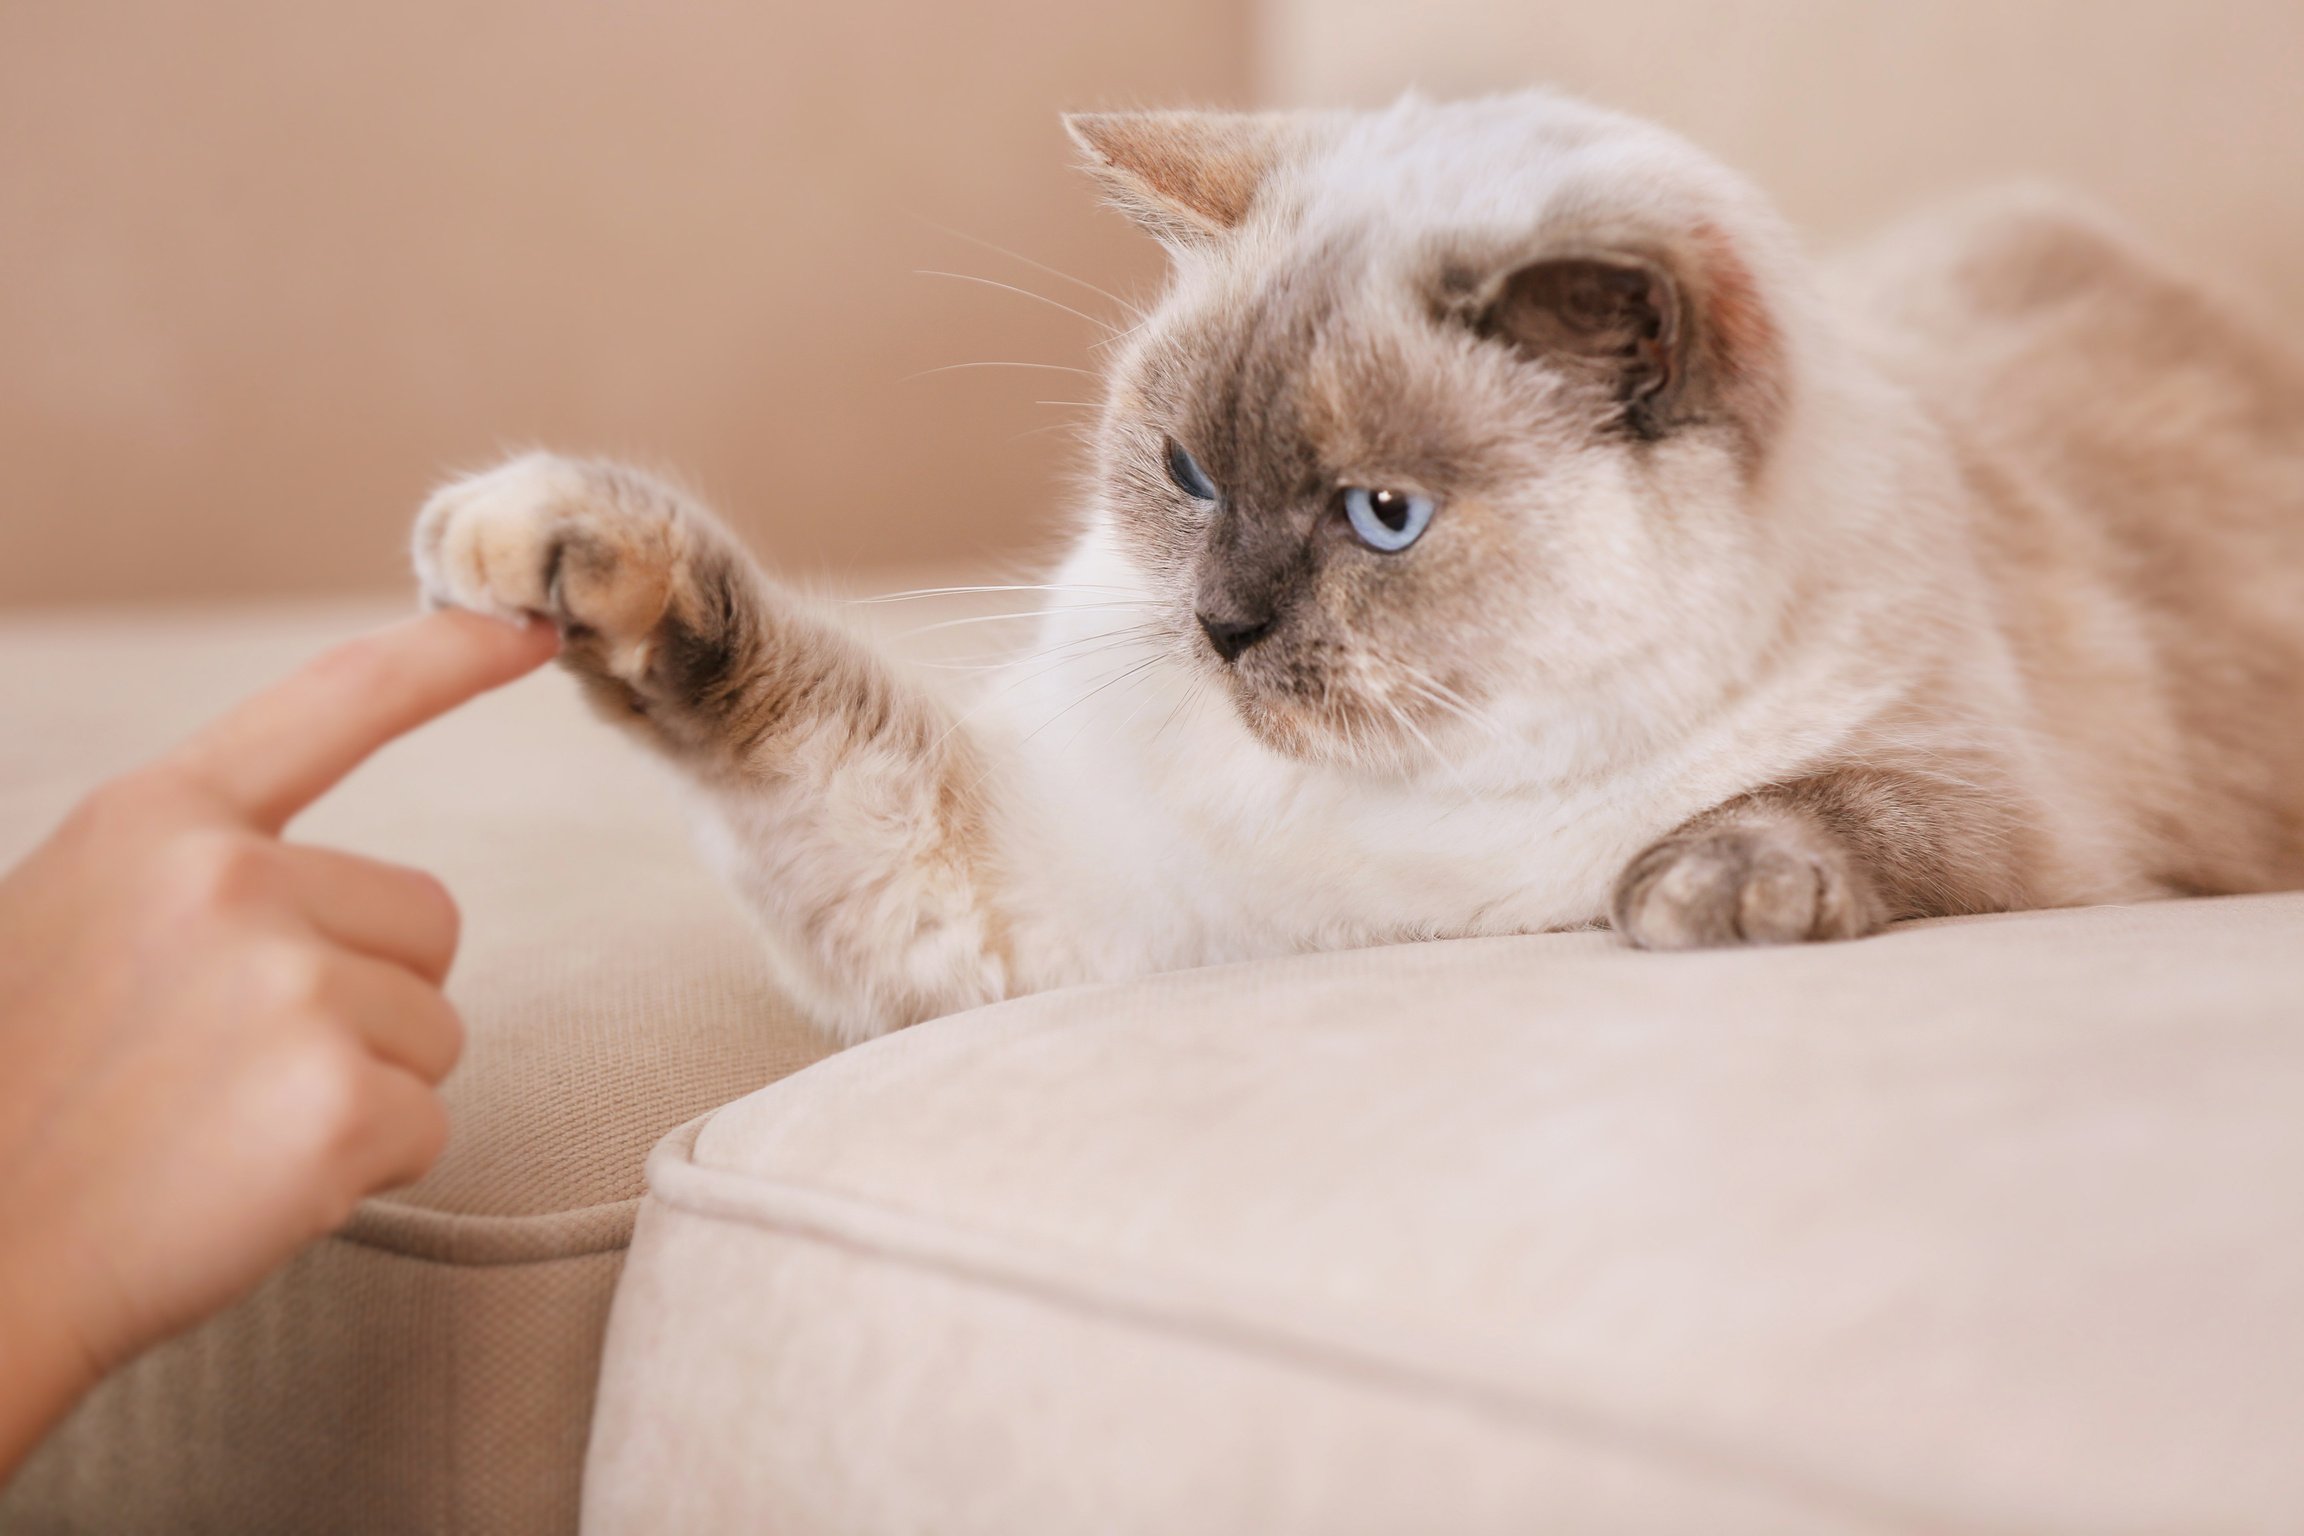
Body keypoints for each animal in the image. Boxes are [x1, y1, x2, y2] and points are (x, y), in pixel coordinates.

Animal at [410, 86, 2304, 1045]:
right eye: (1183, 475)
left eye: (1379, 517)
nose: (1219, 626)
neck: (1401, 830)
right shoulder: (1015, 903)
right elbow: (769, 699)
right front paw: (537, 548)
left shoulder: (2032, 827)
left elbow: (1839, 814)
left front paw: (1692, 896)